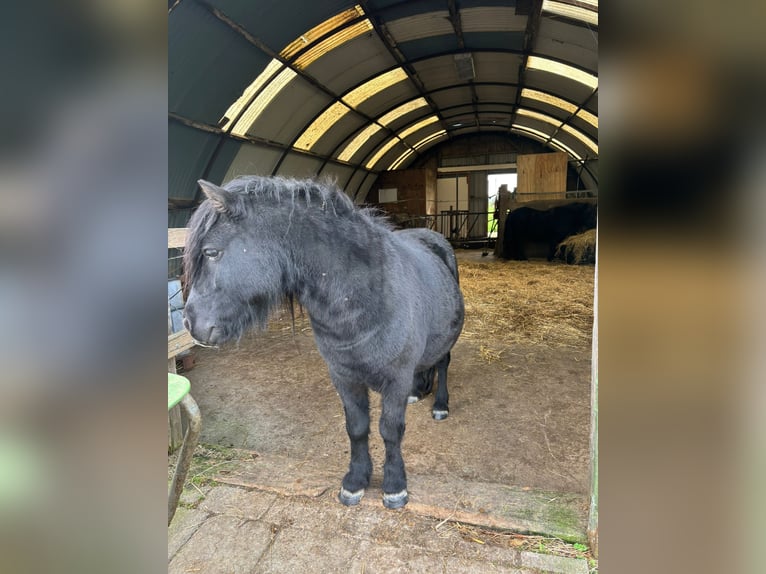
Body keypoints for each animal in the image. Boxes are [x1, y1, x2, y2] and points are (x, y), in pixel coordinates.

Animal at [183, 178, 464, 510]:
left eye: (211, 252)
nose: (190, 322)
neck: (365, 298)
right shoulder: (344, 377)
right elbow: (357, 428)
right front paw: (355, 481)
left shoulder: (395, 379)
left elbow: (390, 430)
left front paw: (395, 486)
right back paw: (419, 391)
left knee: (443, 364)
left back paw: (441, 404)